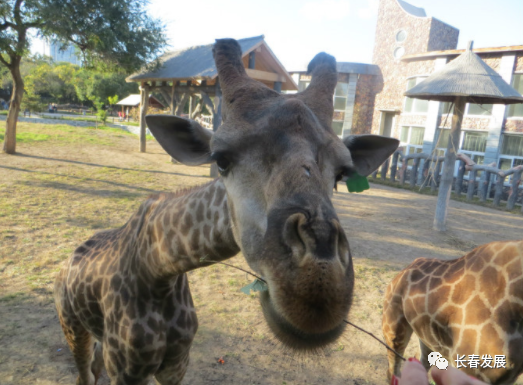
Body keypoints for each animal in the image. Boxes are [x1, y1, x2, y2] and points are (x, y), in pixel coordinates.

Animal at [55, 39, 400, 384]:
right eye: (220, 160)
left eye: (341, 174)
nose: (320, 291)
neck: (156, 269)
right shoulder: (126, 370)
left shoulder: (177, 363)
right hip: (73, 329)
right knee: (85, 373)